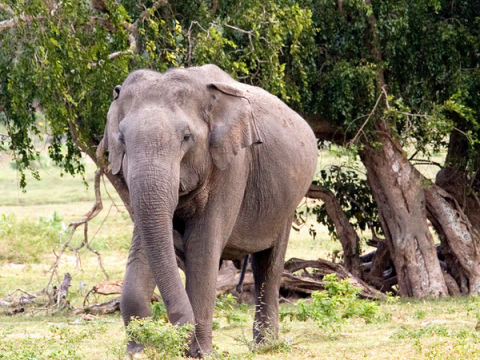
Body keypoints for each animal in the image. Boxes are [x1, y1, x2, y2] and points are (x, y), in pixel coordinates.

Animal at [103, 64, 316, 358]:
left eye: (186, 137)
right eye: (121, 139)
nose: (176, 332)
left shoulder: (233, 165)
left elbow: (202, 247)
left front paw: (200, 353)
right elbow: (147, 241)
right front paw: (138, 352)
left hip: (287, 203)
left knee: (269, 263)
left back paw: (266, 345)